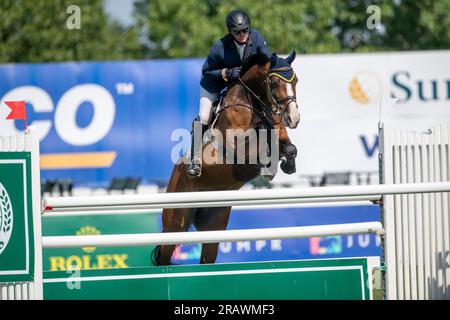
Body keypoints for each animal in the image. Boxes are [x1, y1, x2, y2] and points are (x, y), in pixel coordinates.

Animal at [152, 50, 302, 264]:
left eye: (295, 80)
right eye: (274, 83)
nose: (293, 118)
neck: (252, 103)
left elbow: (288, 146)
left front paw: (287, 165)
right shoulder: (239, 147)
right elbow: (262, 137)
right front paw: (270, 168)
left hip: (214, 224)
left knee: (207, 256)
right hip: (176, 223)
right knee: (165, 255)